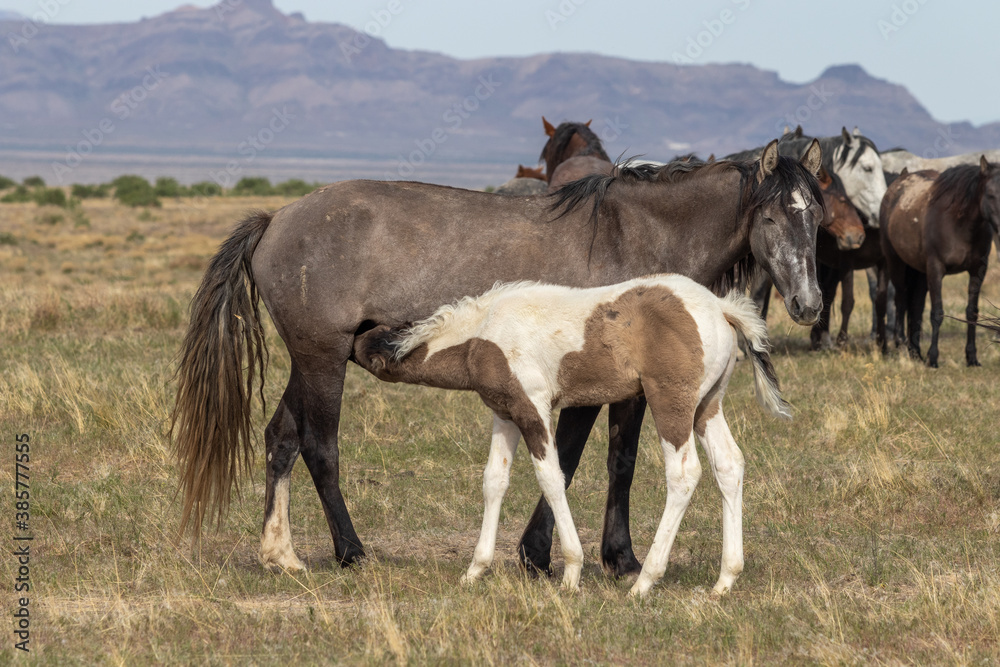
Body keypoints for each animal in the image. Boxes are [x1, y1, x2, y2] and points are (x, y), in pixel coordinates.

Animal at [352, 275, 790, 596]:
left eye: (363, 345)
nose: (345, 344)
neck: (484, 332)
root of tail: (721, 307)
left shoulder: (533, 409)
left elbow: (551, 477)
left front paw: (571, 573)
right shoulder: (505, 414)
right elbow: (494, 481)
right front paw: (475, 570)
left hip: (671, 403)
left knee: (684, 474)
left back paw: (644, 582)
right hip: (707, 406)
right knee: (728, 465)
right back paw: (724, 581)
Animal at [877, 157, 1000, 366]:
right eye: (990, 195)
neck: (959, 224)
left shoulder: (978, 271)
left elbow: (972, 312)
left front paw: (972, 357)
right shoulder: (935, 269)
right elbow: (937, 313)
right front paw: (933, 358)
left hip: (918, 271)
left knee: (915, 304)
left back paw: (915, 351)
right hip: (896, 264)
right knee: (901, 298)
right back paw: (901, 345)